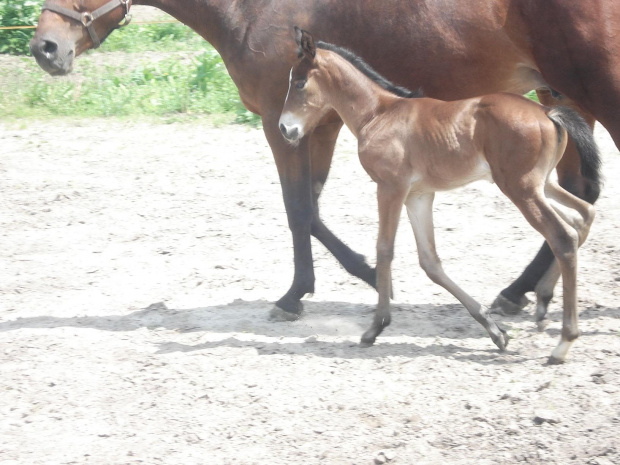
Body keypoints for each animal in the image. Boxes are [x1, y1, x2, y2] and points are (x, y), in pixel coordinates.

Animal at [31, 0, 616, 320]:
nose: (45, 48)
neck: (250, 7)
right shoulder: (318, 125)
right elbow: (310, 209)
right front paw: (360, 274)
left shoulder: (283, 124)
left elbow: (297, 210)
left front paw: (298, 295)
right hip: (558, 96)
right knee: (573, 196)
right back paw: (522, 293)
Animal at [280, 29, 600, 362]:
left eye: (299, 82)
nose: (285, 129)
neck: (379, 113)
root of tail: (548, 111)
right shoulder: (418, 195)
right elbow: (429, 262)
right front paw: (495, 331)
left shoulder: (390, 187)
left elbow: (384, 249)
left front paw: (375, 328)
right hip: (542, 184)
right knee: (582, 217)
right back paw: (542, 303)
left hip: (520, 188)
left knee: (562, 235)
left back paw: (563, 341)